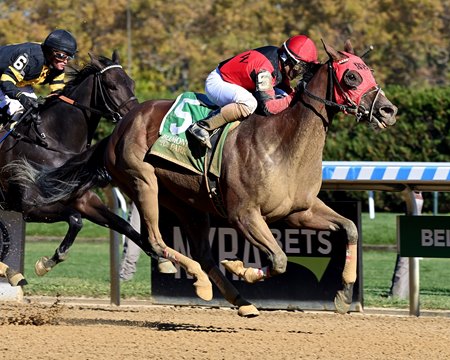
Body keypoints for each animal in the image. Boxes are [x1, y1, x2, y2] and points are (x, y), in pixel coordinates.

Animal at [11, 41, 398, 316]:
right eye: (351, 76)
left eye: (369, 71)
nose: (389, 110)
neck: (284, 143)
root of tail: (120, 126)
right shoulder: (244, 214)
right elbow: (279, 260)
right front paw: (242, 268)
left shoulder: (297, 211)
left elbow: (349, 228)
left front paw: (343, 293)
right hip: (143, 182)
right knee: (155, 239)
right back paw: (199, 279)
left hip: (188, 203)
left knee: (199, 251)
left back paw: (238, 300)